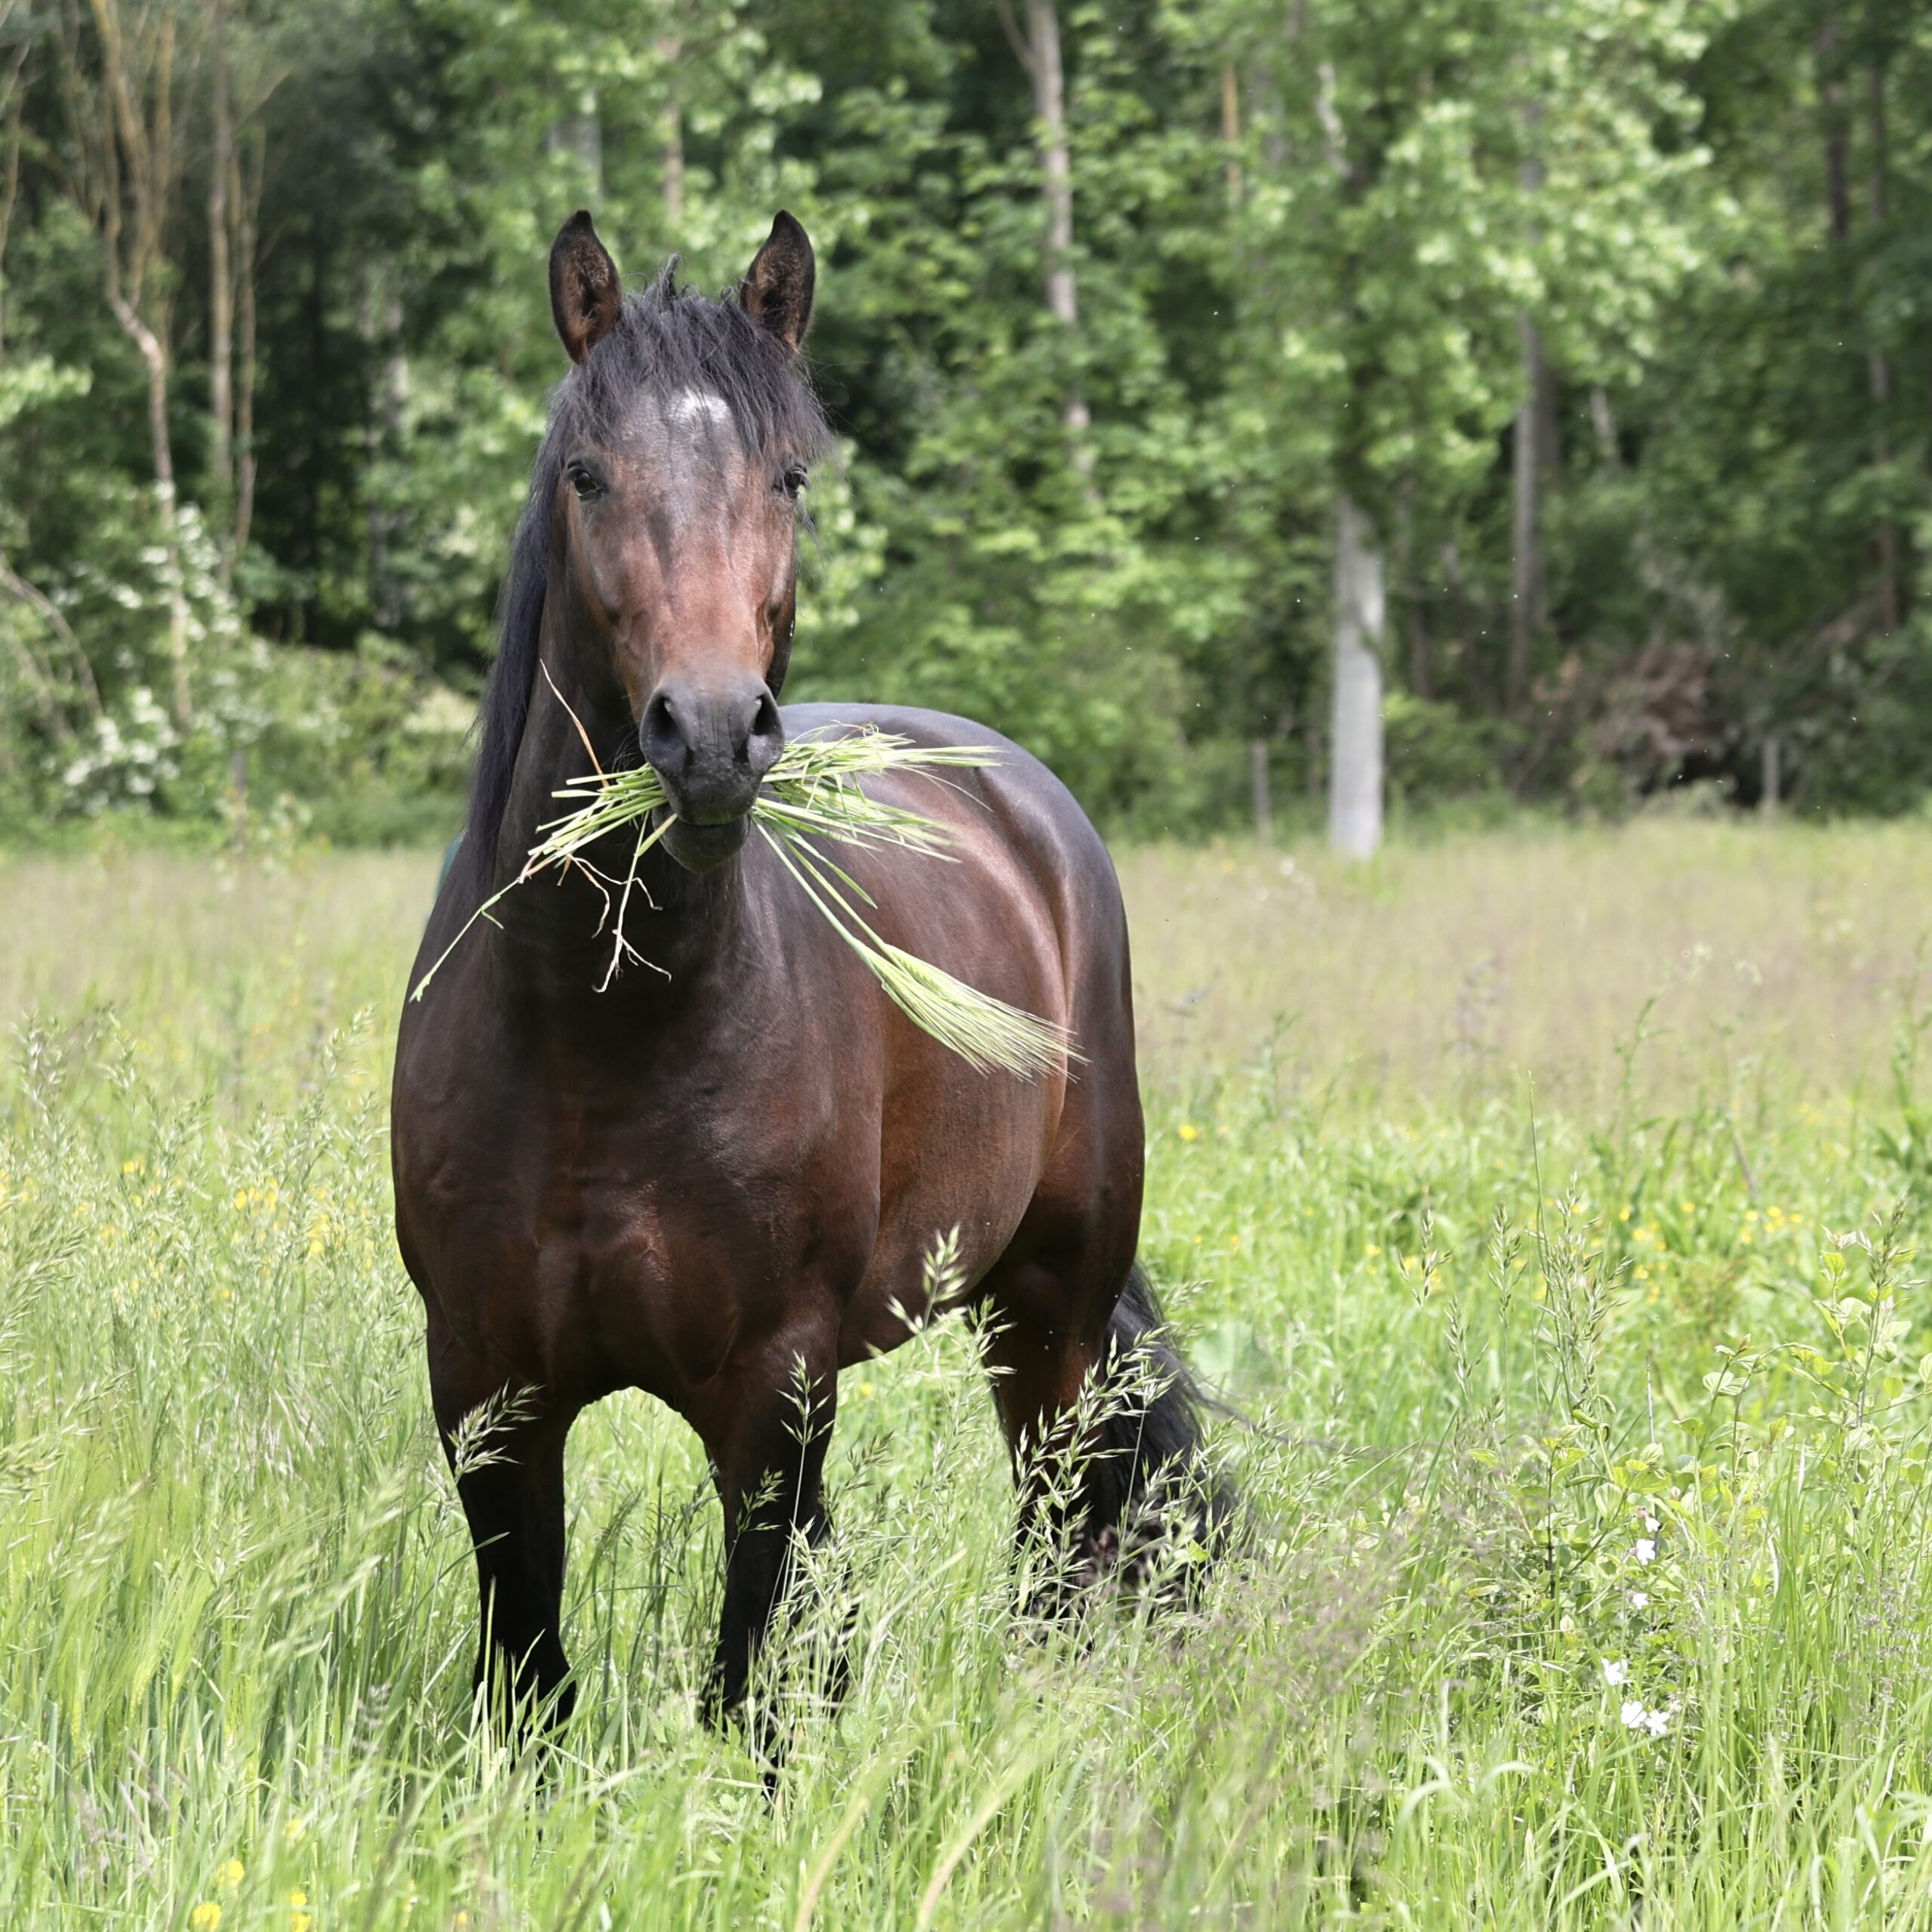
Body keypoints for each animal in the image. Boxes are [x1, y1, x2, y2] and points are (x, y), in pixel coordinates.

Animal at [388, 211, 1220, 1739]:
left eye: (788, 477)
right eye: (588, 476)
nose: (713, 736)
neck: (603, 1038)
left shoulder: (768, 1391)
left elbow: (746, 1690)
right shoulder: (486, 1391)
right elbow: (534, 1677)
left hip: (1051, 1317)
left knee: (1058, 1556)